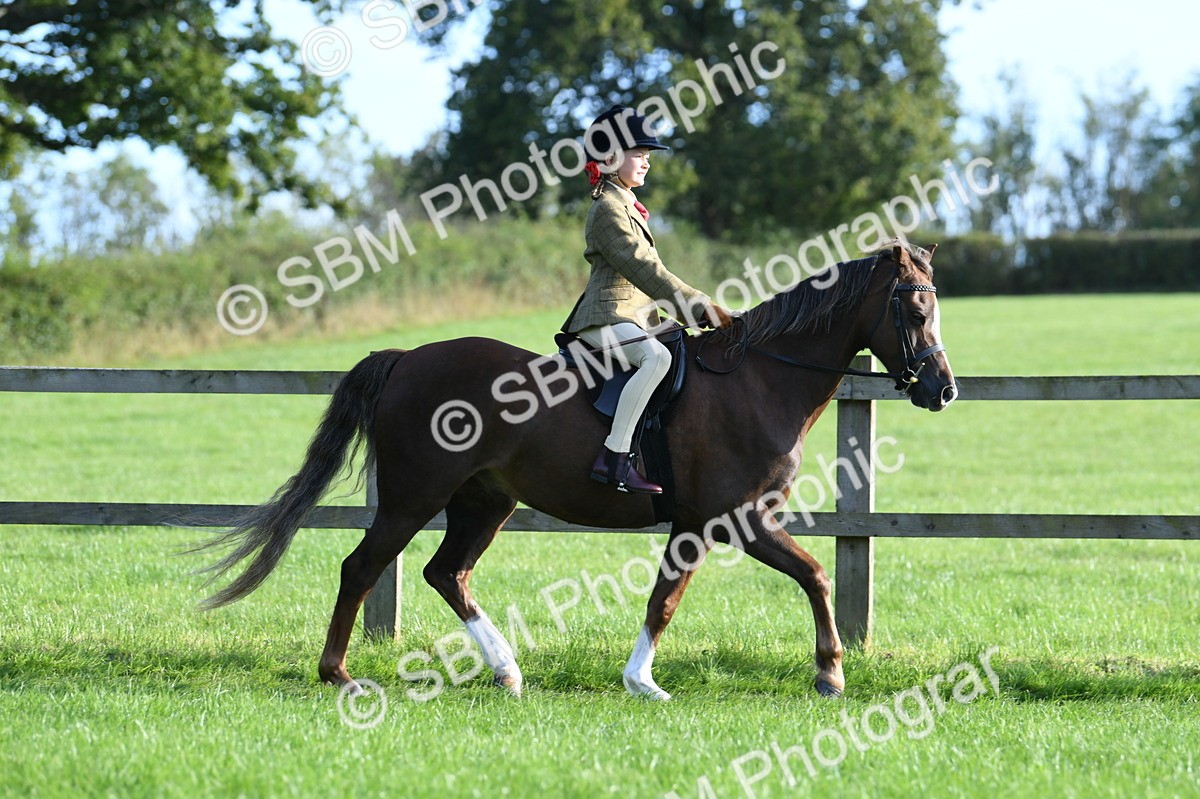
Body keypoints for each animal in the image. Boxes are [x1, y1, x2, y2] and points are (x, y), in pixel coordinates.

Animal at [195, 240, 957, 700]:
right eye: (916, 308)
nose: (943, 390)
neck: (759, 378)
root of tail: (409, 358)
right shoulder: (730, 518)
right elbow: (809, 576)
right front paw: (827, 674)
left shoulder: (702, 524)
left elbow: (670, 597)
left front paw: (643, 679)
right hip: (414, 496)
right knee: (363, 567)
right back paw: (339, 673)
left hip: (483, 502)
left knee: (446, 572)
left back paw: (506, 670)